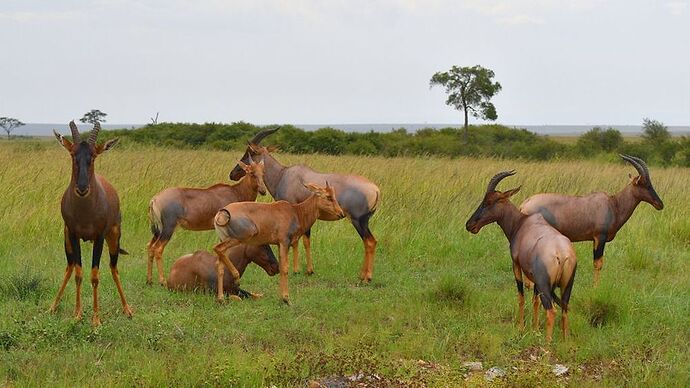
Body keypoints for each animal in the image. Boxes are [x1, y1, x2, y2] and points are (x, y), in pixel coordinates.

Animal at [50, 120, 133, 324]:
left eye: (94, 156)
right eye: (73, 154)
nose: (82, 188)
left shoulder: (99, 237)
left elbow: (95, 275)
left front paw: (96, 319)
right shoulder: (73, 234)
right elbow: (79, 273)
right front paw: (78, 315)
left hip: (114, 237)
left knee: (114, 268)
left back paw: (127, 309)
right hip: (66, 240)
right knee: (70, 266)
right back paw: (54, 306)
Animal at [211, 181, 342, 304]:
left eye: (334, 195)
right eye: (328, 196)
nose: (341, 213)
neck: (295, 211)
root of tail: (221, 213)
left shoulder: (279, 244)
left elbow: (281, 267)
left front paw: (281, 298)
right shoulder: (284, 242)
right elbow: (284, 268)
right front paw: (286, 299)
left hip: (224, 239)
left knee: (220, 264)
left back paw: (220, 299)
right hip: (239, 238)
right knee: (217, 248)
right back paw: (236, 276)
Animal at [462, 171, 576, 342]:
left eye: (488, 202)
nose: (470, 225)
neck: (522, 223)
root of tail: (561, 254)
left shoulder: (516, 265)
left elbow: (521, 297)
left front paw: (521, 328)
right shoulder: (534, 277)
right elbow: (534, 301)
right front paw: (534, 329)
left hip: (545, 284)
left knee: (551, 310)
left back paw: (547, 343)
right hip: (566, 286)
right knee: (564, 308)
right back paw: (565, 340)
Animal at [520, 154, 660, 284]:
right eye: (645, 184)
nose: (660, 204)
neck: (613, 204)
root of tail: (524, 204)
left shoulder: (594, 239)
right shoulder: (600, 237)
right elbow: (598, 264)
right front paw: (595, 288)